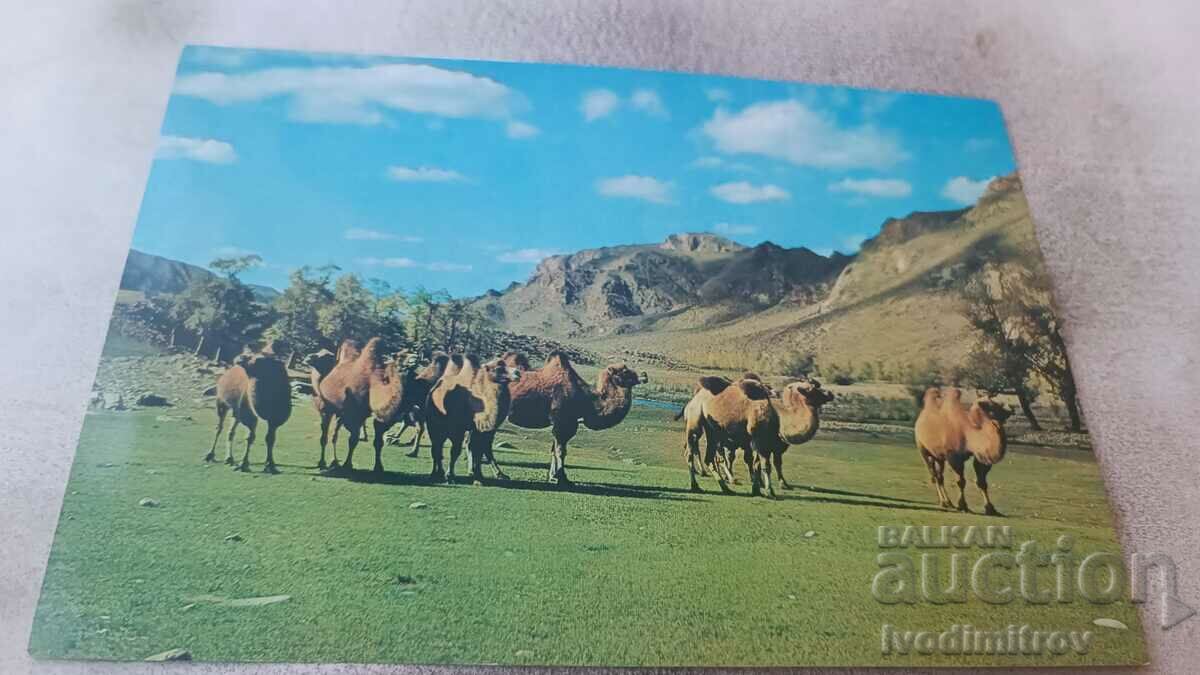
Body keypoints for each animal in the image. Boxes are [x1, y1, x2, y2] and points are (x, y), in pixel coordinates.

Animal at [205, 345, 291, 473]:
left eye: (258, 358)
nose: (238, 358)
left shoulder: (276, 419)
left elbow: (270, 438)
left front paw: (270, 465)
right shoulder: (249, 414)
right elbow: (250, 437)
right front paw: (244, 464)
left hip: (236, 411)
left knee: (231, 431)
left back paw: (229, 458)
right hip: (221, 402)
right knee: (219, 427)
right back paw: (210, 455)